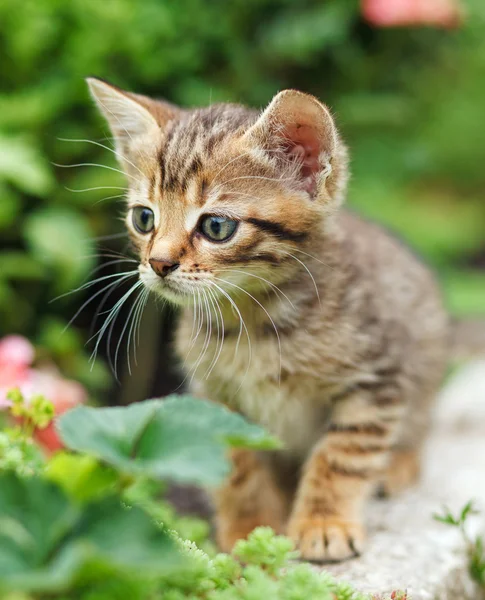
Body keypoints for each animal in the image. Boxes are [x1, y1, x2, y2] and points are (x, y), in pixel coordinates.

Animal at [87, 79, 468, 564]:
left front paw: (323, 523)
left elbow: (342, 453)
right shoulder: (214, 395)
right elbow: (235, 467)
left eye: (215, 226)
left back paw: (398, 464)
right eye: (144, 217)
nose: (157, 263)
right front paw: (251, 531)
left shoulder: (377, 377)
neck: (254, 325)